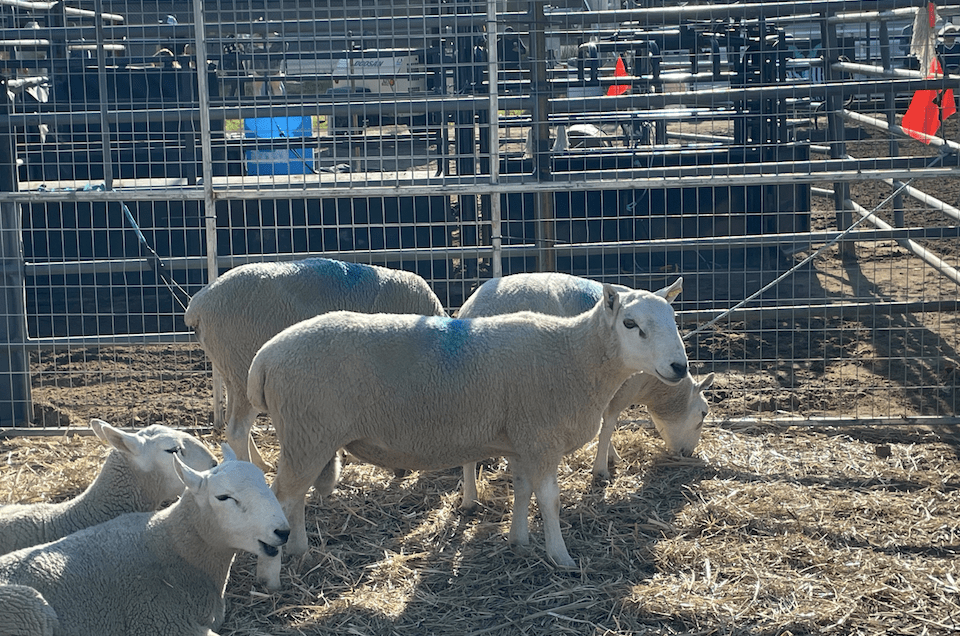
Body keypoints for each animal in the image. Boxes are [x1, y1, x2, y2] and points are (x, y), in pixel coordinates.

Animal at [184, 257, 447, 469]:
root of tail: (197, 306)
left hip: (230, 372)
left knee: (233, 423)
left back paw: (262, 464)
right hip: (243, 367)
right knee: (237, 430)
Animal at [247, 279, 688, 588]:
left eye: (673, 320)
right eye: (630, 324)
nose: (679, 367)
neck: (572, 353)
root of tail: (264, 358)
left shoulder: (521, 439)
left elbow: (522, 489)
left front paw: (519, 541)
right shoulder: (541, 436)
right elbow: (548, 498)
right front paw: (561, 557)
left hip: (307, 436)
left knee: (295, 497)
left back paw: (300, 550)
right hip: (309, 431)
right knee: (282, 496)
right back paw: (270, 577)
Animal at [455, 272, 714, 507]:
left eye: (674, 319)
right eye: (703, 413)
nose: (687, 454)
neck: (650, 385)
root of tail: (479, 309)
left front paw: (612, 456)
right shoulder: (618, 390)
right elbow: (608, 425)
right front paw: (602, 469)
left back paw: (470, 499)